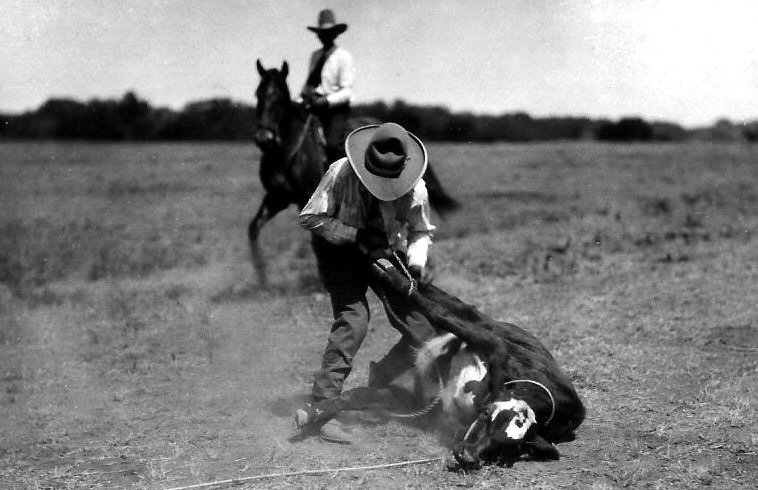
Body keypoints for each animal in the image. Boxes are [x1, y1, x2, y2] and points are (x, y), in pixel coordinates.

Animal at [252, 58, 460, 286]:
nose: (263, 138)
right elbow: (254, 228)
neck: (290, 152)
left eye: (280, 99)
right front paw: (262, 278)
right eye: (258, 94)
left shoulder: (304, 197)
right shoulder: (276, 198)